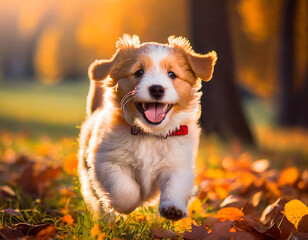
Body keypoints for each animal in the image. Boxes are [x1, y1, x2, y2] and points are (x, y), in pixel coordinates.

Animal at [79, 34, 217, 221]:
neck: (150, 135)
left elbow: (175, 185)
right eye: (139, 72)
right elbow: (124, 190)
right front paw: (127, 205)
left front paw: (173, 208)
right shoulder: (105, 161)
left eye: (172, 74)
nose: (157, 89)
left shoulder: (178, 164)